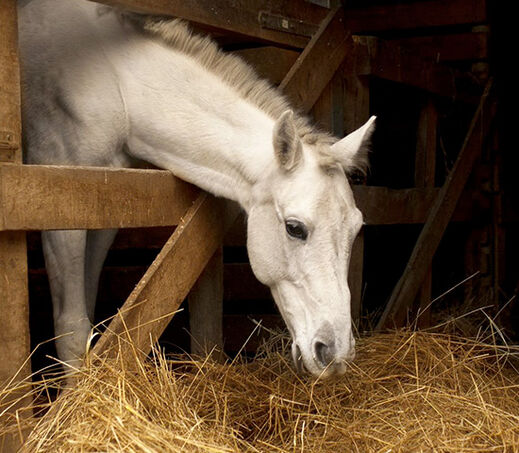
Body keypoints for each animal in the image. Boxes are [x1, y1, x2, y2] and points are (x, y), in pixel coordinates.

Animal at [19, 0, 374, 378]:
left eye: (356, 229)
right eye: (294, 228)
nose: (335, 353)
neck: (114, 83)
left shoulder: (101, 212)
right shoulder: (61, 209)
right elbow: (72, 329)